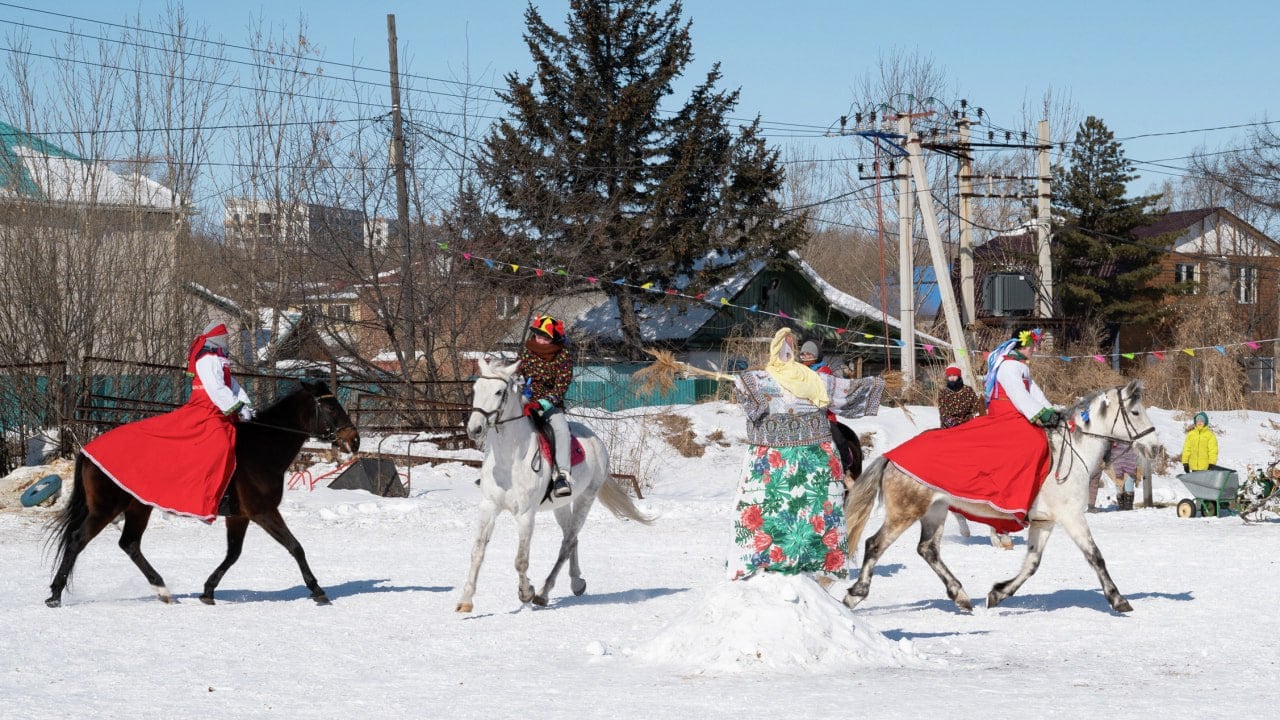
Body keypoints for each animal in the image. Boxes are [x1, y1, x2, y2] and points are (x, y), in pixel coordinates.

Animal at [47, 381, 358, 604]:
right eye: (331, 408)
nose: (354, 440)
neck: (263, 447)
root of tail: (87, 450)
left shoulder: (239, 516)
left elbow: (233, 553)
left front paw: (208, 591)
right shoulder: (263, 511)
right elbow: (295, 547)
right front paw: (317, 590)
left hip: (139, 507)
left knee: (130, 544)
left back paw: (163, 591)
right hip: (105, 509)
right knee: (77, 540)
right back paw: (55, 595)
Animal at [458, 356, 655, 607]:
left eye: (498, 391)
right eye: (476, 388)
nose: (474, 428)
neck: (508, 460)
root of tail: (597, 443)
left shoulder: (526, 514)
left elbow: (521, 560)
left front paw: (526, 592)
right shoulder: (489, 506)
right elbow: (477, 551)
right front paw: (466, 600)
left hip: (585, 498)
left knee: (567, 543)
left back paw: (544, 592)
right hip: (561, 505)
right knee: (572, 539)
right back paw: (576, 582)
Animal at [844, 376, 1157, 609]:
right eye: (1136, 412)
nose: (1154, 448)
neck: (1072, 451)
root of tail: (890, 457)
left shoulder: (1045, 521)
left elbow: (1032, 563)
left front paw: (998, 593)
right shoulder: (1071, 516)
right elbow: (1095, 556)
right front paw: (1118, 599)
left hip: (936, 510)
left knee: (928, 549)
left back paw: (960, 595)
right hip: (906, 511)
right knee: (875, 544)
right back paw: (855, 594)